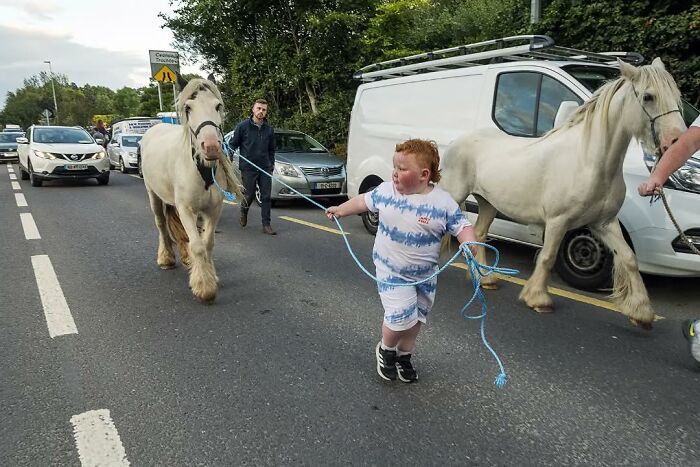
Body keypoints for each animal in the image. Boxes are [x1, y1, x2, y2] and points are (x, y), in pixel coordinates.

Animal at [140, 77, 243, 302]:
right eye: (188, 107)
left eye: (218, 105)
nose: (211, 147)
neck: (201, 169)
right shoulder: (186, 209)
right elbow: (197, 245)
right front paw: (204, 286)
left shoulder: (213, 210)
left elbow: (207, 243)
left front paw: (209, 274)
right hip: (153, 195)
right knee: (161, 224)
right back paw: (166, 258)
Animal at [439, 58, 685, 329]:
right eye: (648, 96)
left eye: (676, 95)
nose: (676, 141)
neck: (589, 162)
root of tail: (457, 141)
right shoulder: (558, 221)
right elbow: (547, 257)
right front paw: (538, 299)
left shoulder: (604, 224)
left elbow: (630, 259)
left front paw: (641, 312)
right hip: (455, 194)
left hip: (488, 204)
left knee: (480, 233)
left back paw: (486, 280)